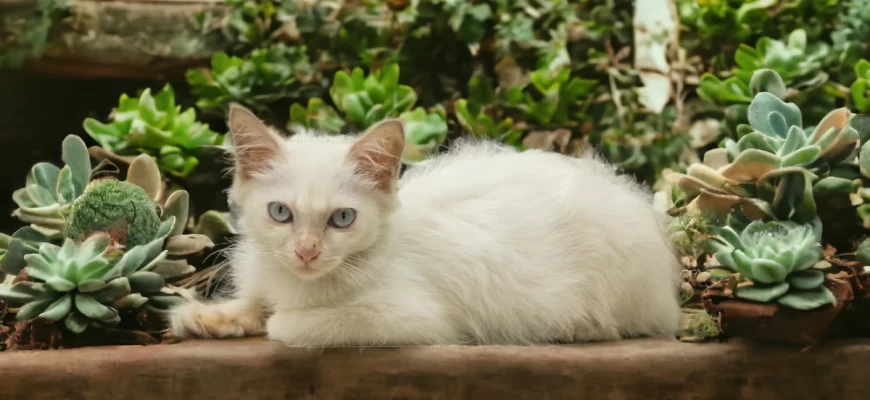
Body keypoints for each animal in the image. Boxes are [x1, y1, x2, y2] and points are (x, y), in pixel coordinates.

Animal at [169, 104, 688, 346]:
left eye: (342, 218)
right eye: (280, 213)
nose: (307, 251)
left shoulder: (418, 317)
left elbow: (291, 323)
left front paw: (277, 319)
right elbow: (255, 303)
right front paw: (207, 317)